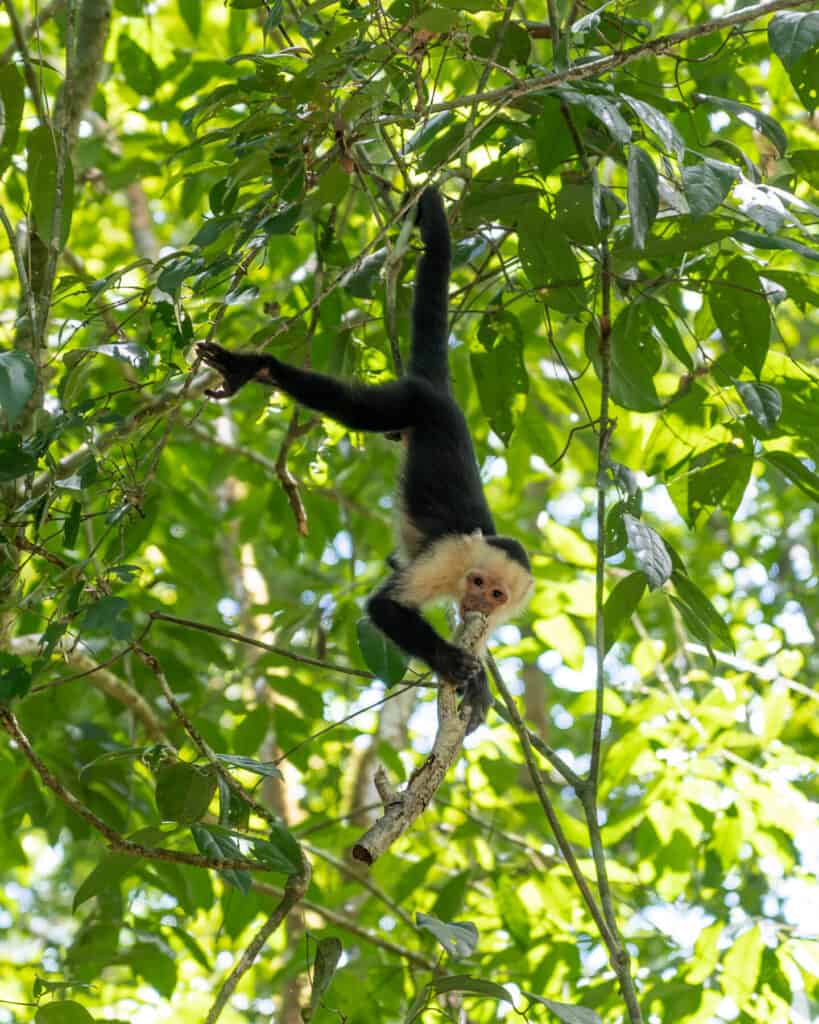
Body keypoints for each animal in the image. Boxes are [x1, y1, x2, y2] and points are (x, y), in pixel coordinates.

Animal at [197, 188, 533, 732]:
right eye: (478, 582)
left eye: (497, 596)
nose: (479, 600)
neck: (468, 566)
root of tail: (443, 396)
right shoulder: (450, 557)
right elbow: (383, 607)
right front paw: (449, 661)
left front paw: (479, 684)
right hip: (409, 401)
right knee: (352, 407)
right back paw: (259, 368)